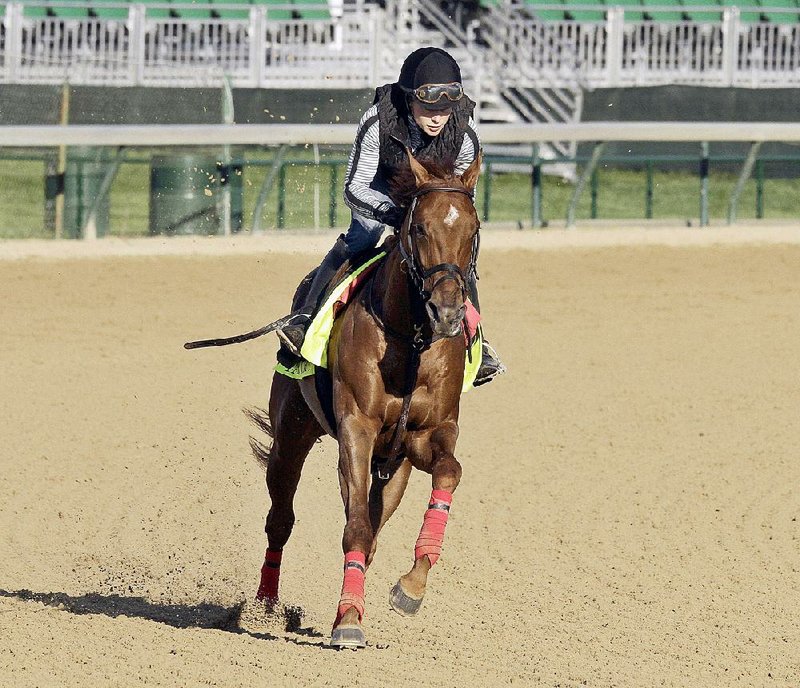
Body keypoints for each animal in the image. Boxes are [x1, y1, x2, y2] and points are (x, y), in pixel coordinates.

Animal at [247, 150, 482, 652]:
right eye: (419, 228)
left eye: (473, 230)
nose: (448, 313)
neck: (410, 343)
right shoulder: (356, 429)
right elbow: (353, 526)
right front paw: (349, 622)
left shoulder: (426, 436)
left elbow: (449, 472)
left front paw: (411, 586)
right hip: (291, 434)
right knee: (281, 518)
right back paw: (265, 605)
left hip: (393, 470)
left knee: (372, 526)